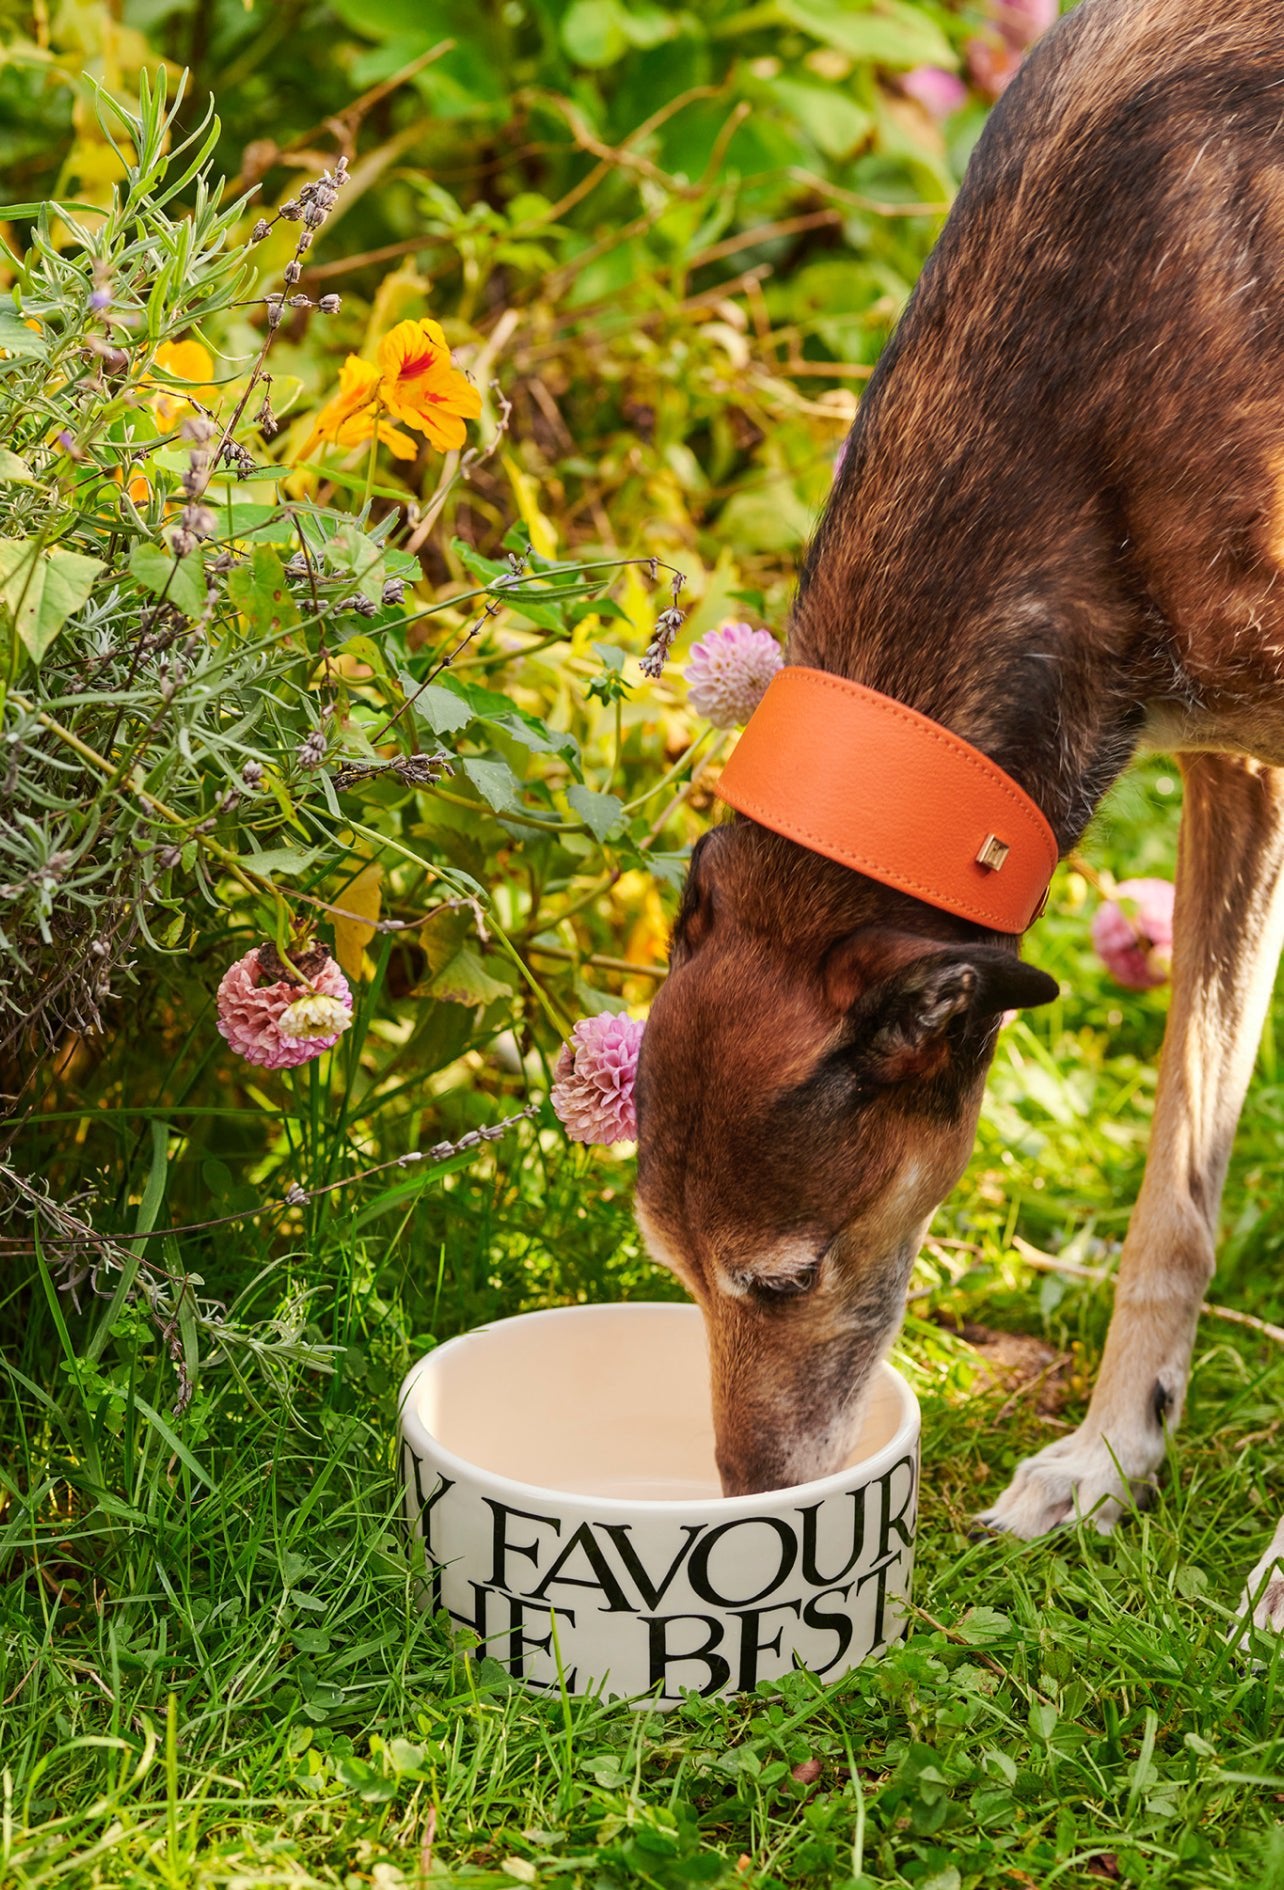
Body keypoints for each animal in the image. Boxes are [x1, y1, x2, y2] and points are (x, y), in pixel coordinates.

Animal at [635, 0, 1284, 1632]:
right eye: (667, 1264)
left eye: (783, 1278)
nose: (746, 1507)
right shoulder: (1239, 769)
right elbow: (1178, 1181)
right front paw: (1112, 1455)